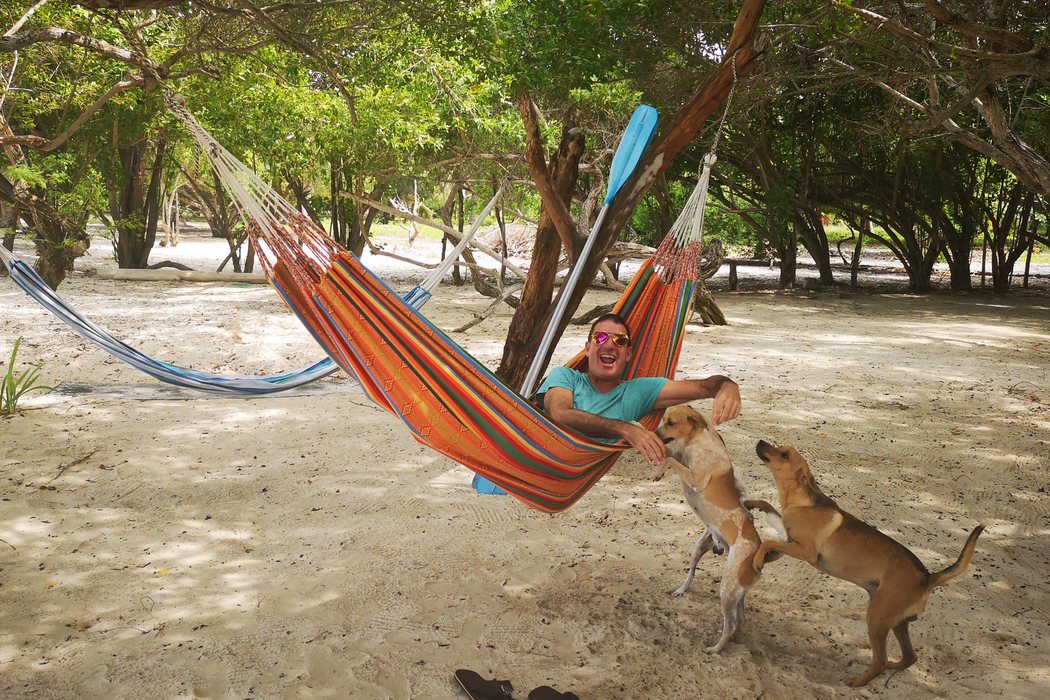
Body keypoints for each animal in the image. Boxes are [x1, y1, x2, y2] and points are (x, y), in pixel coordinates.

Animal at [651, 407, 785, 654]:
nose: (655, 433)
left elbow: (670, 456)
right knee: (699, 581)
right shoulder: (684, 460)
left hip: (727, 588)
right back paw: (681, 590)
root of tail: (759, 552)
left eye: (671, 422)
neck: (697, 442)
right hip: (714, 567)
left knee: (730, 624)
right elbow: (672, 456)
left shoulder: (695, 478)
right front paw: (659, 472)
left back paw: (715, 649)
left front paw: (661, 462)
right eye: (664, 419)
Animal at [755, 440, 982, 688]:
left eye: (785, 455)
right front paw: (753, 503)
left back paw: (857, 682)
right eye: (779, 448)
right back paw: (892, 667)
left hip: (876, 617)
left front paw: (757, 560)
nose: (761, 441)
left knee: (880, 660)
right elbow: (767, 509)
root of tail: (928, 577)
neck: (800, 500)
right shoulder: (789, 539)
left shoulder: (805, 551)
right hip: (895, 621)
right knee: (909, 656)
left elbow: (767, 542)